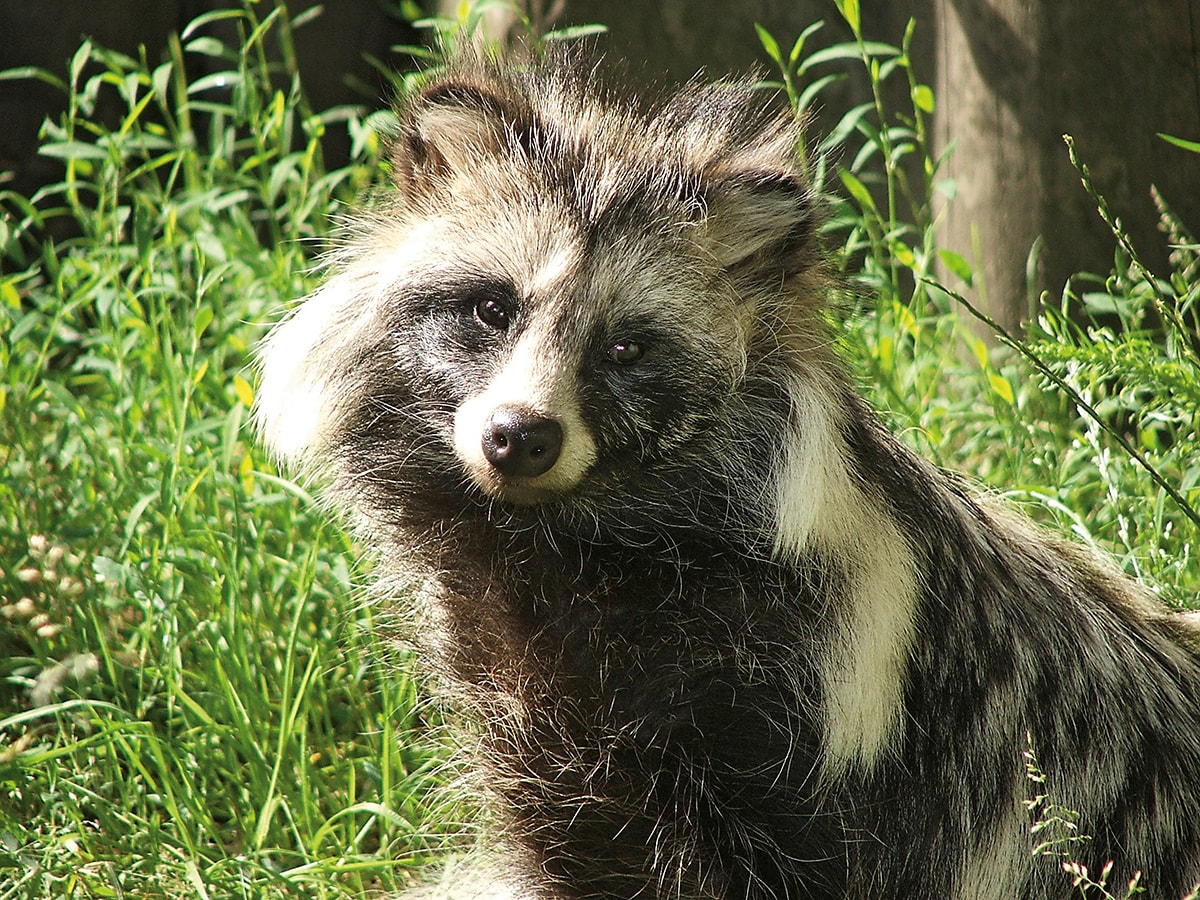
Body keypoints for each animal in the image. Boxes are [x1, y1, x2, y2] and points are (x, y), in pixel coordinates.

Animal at [253, 52, 1200, 900]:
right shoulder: (539, 718)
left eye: (625, 348)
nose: (518, 437)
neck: (568, 546)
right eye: (492, 307)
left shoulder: (826, 718)